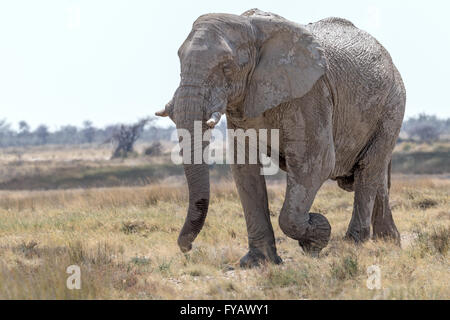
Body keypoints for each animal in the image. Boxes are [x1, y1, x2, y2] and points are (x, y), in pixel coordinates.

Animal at [155, 8, 404, 268]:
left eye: (226, 67)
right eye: (179, 60)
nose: (187, 249)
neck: (251, 27)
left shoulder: (310, 93)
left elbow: (314, 164)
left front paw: (317, 234)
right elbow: (245, 170)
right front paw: (257, 262)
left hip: (392, 106)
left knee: (368, 169)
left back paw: (353, 245)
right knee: (377, 174)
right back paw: (389, 243)